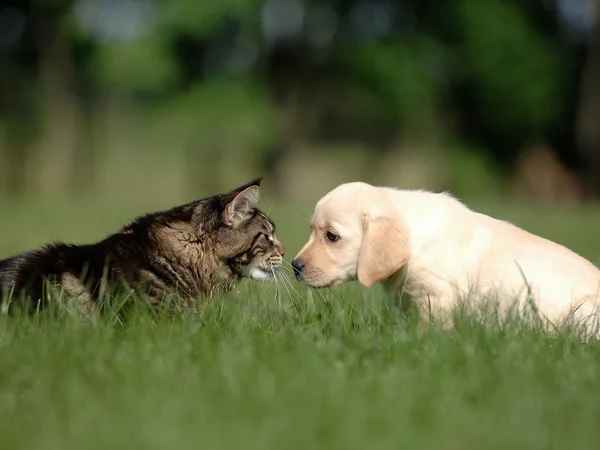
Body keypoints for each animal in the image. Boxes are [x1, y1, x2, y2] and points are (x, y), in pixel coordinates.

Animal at [290, 182, 600, 334]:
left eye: (331, 236)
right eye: (312, 231)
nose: (295, 266)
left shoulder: (437, 297)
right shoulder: (406, 300)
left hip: (584, 312)